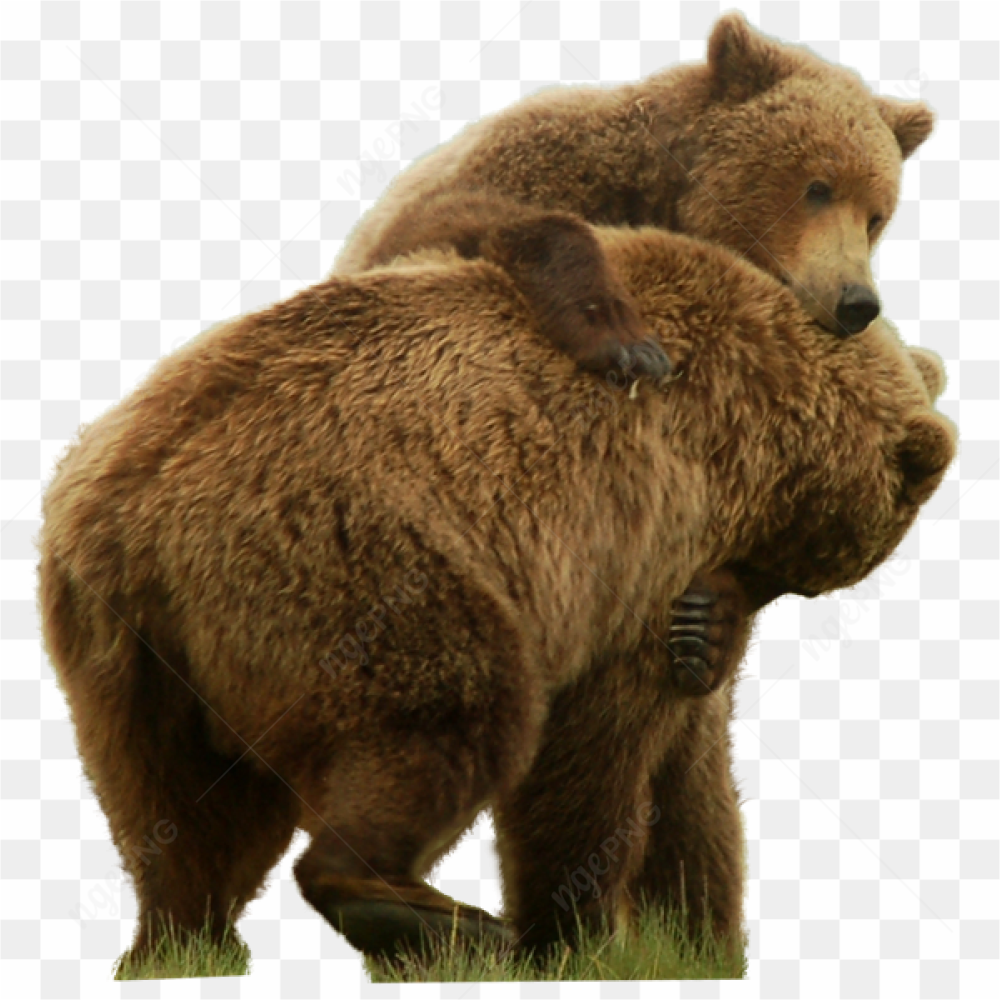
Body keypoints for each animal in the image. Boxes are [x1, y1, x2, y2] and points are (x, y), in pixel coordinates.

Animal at [37, 225, 954, 965]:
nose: (711, 619)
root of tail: (130, 506)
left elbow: (692, 771)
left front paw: (698, 935)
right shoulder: (634, 535)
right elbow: (590, 753)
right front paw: (576, 933)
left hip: (126, 655)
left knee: (183, 811)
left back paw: (183, 942)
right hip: (352, 560)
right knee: (454, 711)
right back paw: (429, 915)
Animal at [336, 12, 933, 382]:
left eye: (876, 216)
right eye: (818, 187)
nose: (857, 301)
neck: (661, 186)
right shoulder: (520, 164)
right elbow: (456, 223)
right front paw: (630, 344)